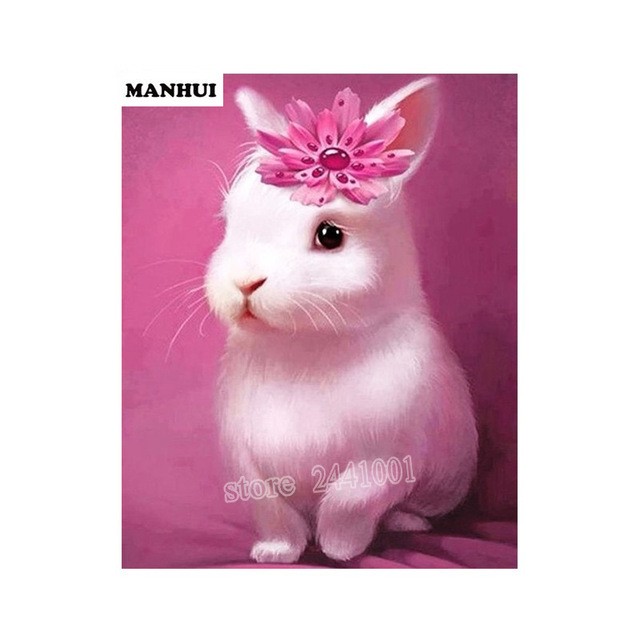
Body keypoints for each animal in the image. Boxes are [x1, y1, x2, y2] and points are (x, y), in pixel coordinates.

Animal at [205, 77, 477, 563]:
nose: (244, 282)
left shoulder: (388, 458)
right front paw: (275, 553)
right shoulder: (248, 462)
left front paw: (339, 549)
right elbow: (272, 510)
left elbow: (349, 500)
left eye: (330, 235)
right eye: (229, 222)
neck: (307, 345)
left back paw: (404, 523)